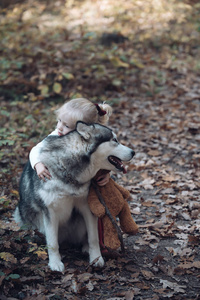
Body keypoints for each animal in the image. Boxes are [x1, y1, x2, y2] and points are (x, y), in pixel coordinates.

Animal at [14, 121, 134, 272]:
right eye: (114, 140)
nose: (133, 152)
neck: (68, 171)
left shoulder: (88, 207)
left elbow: (93, 238)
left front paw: (96, 258)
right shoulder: (49, 212)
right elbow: (52, 243)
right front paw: (55, 263)